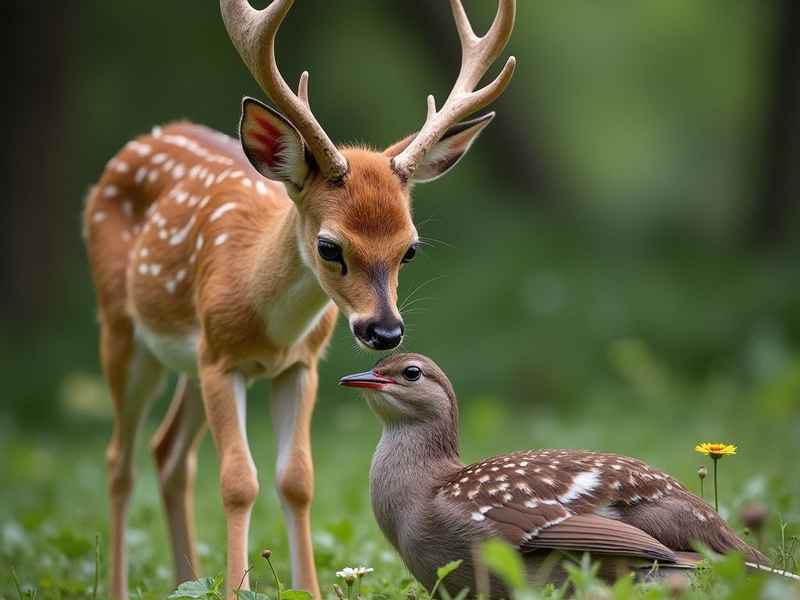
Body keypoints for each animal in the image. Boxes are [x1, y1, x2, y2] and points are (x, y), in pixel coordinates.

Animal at [82, 1, 516, 598]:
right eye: (329, 246)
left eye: (410, 249)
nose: (384, 331)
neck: (267, 324)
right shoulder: (221, 361)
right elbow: (238, 480)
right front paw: (237, 587)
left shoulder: (300, 365)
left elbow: (297, 480)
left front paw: (306, 586)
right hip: (122, 329)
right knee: (118, 460)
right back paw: (121, 585)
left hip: (188, 362)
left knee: (168, 453)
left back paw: (186, 579)